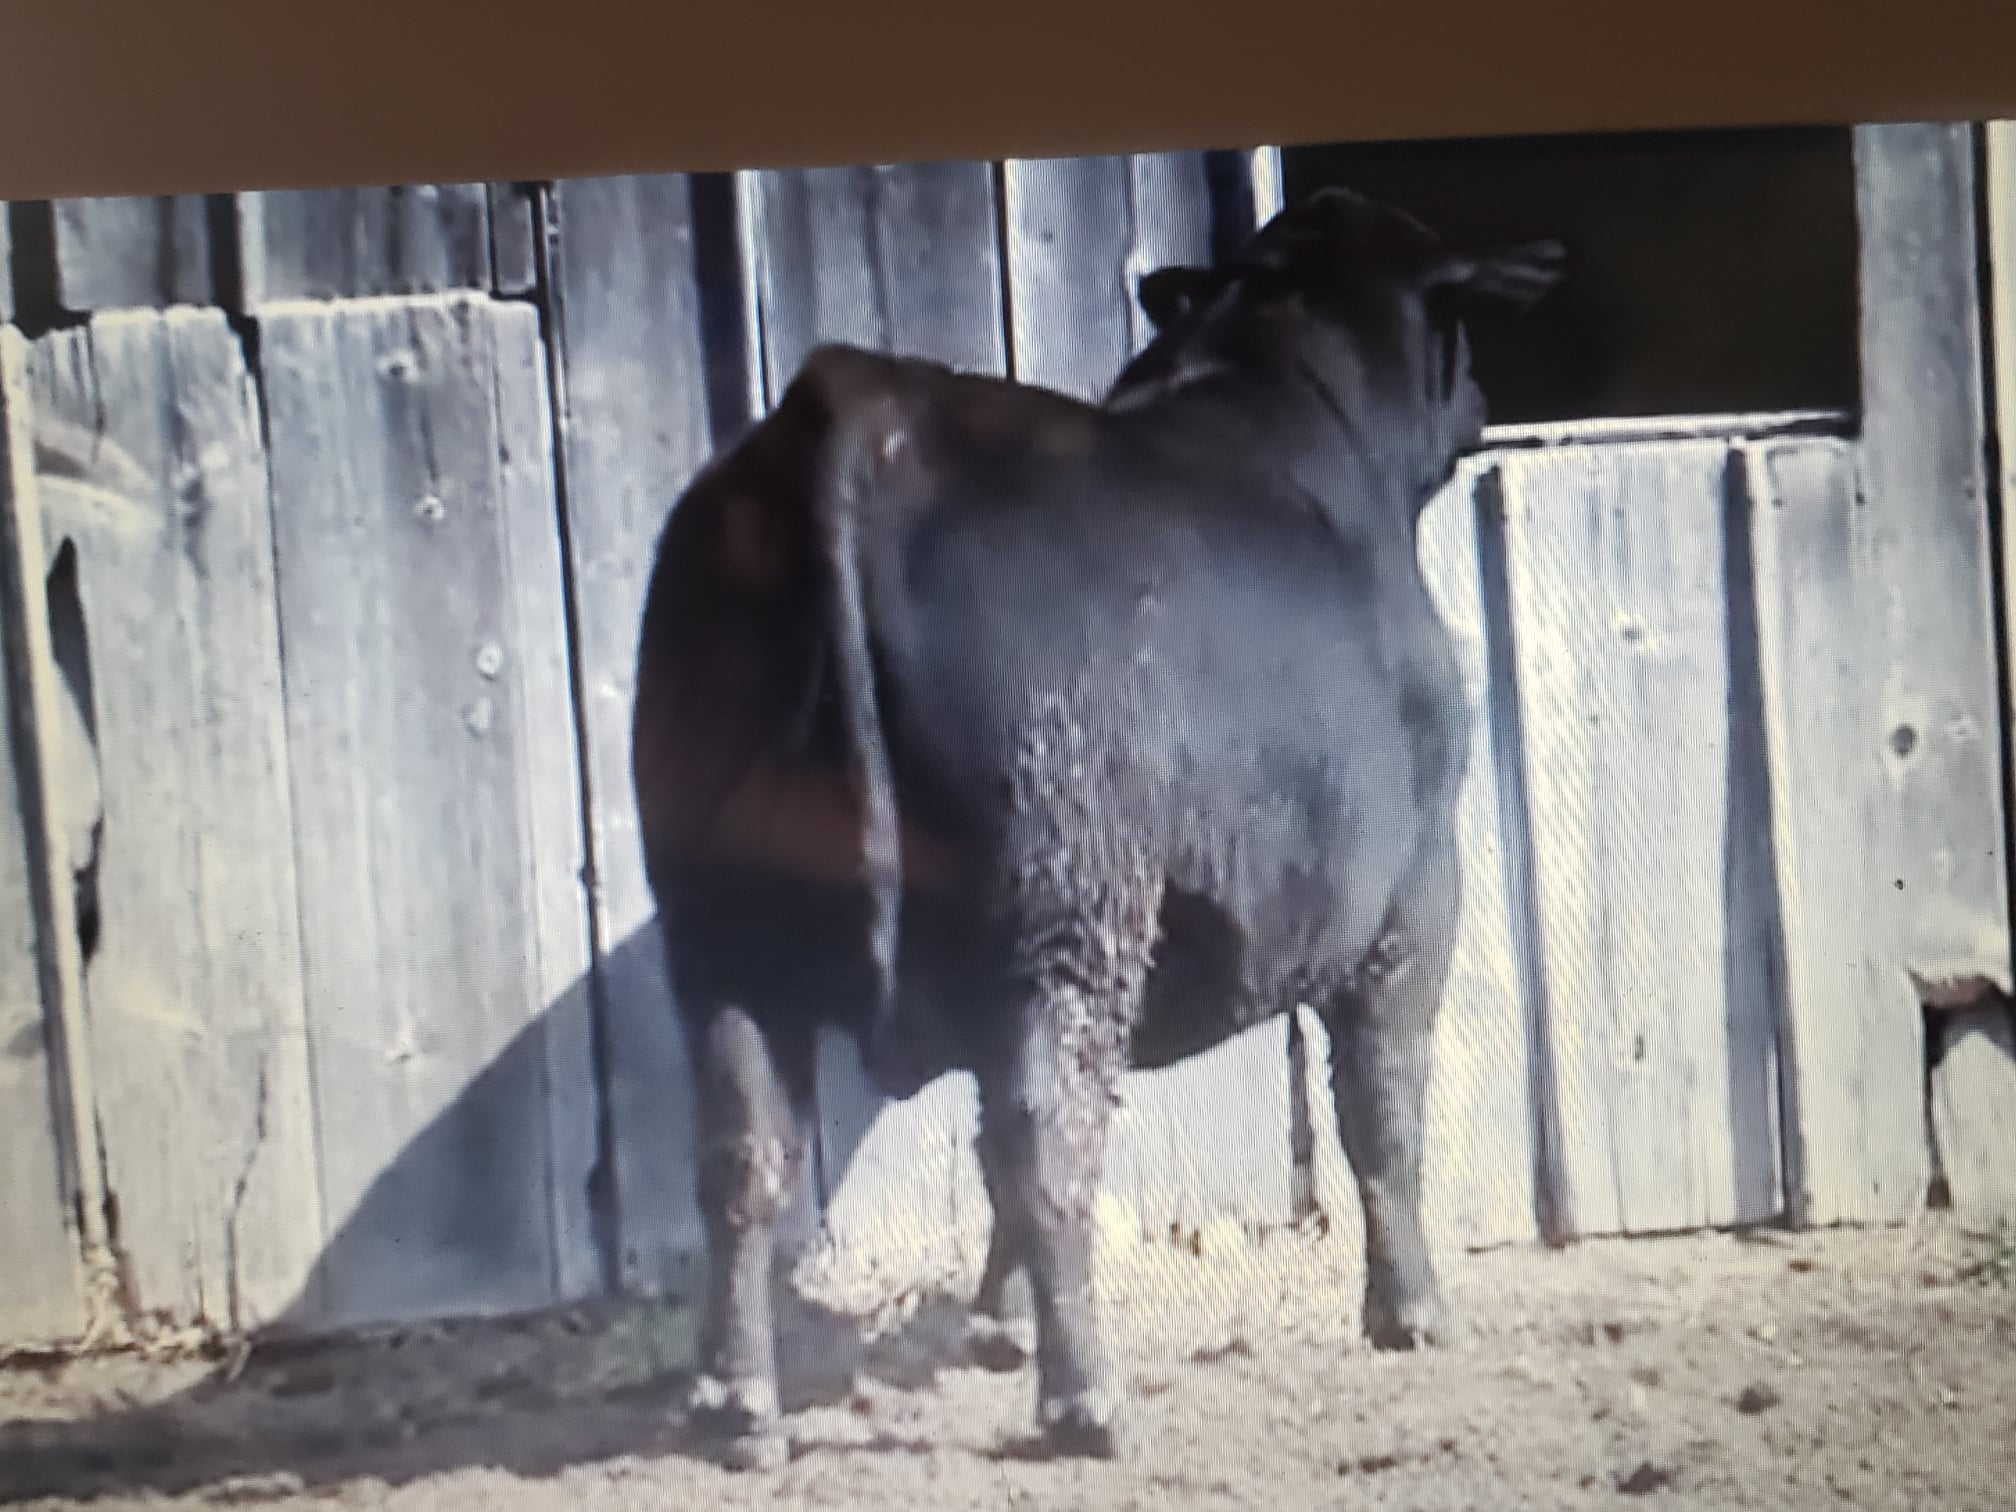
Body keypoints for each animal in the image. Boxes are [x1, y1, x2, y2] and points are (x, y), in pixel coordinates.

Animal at [629, 185, 1565, 1470]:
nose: (1488, 400)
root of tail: (850, 408)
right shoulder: (1413, 889)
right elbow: (1382, 1103)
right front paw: (1410, 1312)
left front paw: (994, 1323)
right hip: (1061, 904)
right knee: (1047, 1132)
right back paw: (1088, 1402)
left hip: (724, 928)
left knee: (745, 1151)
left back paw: (738, 1402)